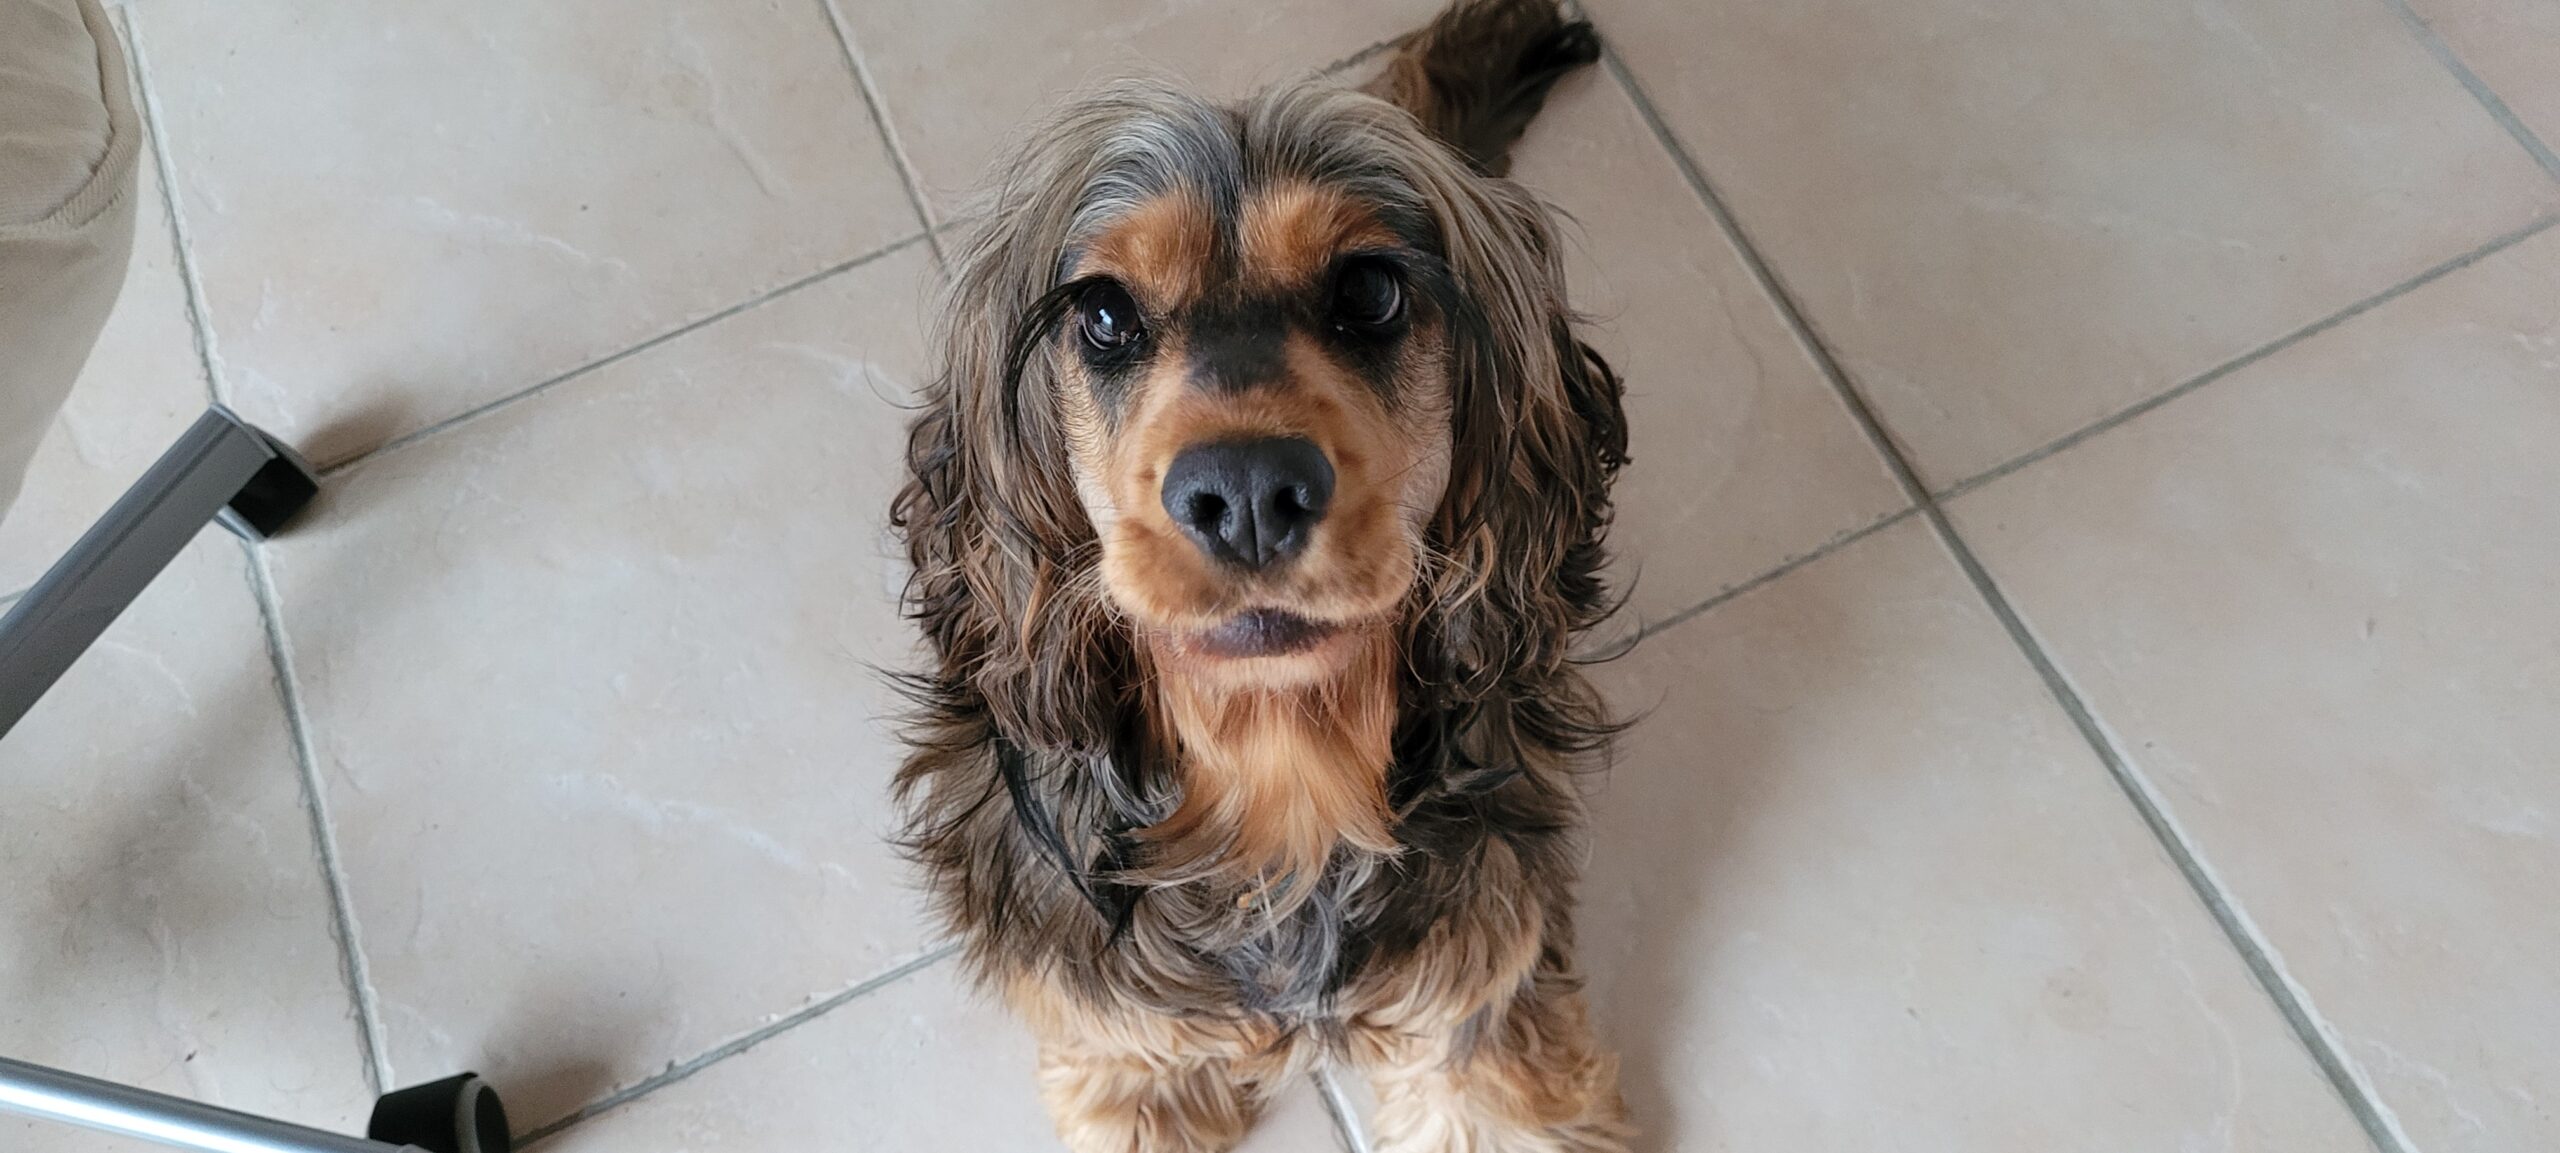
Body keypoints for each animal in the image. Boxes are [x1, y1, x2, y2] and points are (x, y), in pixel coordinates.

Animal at [890, 4, 1628, 1147]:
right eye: (1103, 315)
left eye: (1369, 290)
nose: (1244, 492)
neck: (1279, 758)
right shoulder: (1098, 986)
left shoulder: (1481, 956)